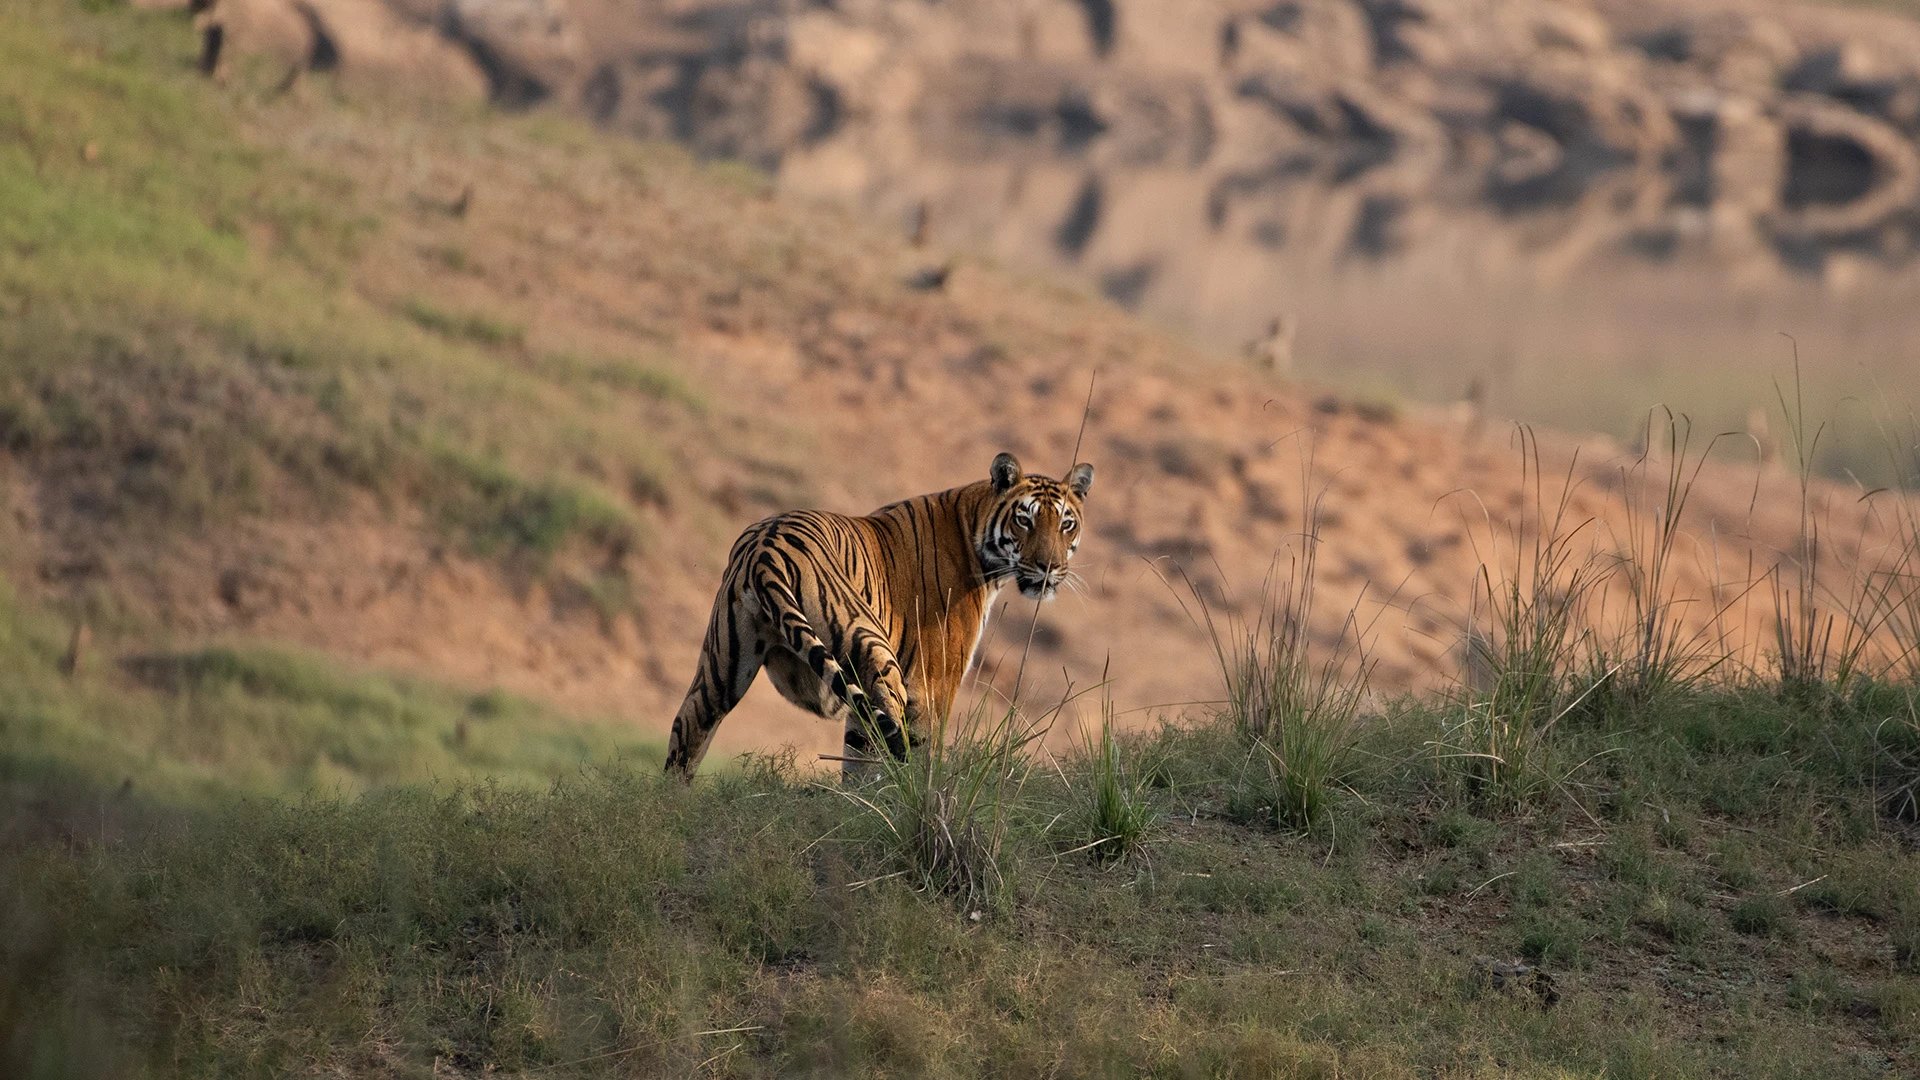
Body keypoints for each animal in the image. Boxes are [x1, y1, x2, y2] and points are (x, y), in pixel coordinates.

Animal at [664, 451, 1098, 772]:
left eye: (1066, 524)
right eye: (1025, 520)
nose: (1049, 567)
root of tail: (765, 549)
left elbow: (856, 761)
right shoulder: (933, 683)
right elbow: (923, 753)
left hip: (722, 669)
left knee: (687, 728)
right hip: (874, 651)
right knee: (893, 737)